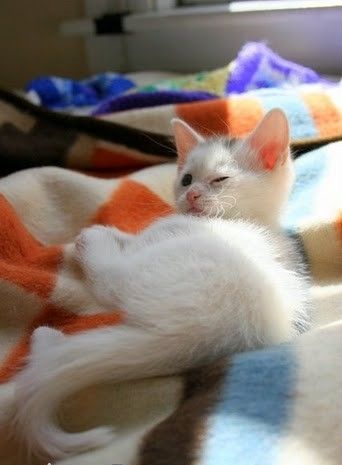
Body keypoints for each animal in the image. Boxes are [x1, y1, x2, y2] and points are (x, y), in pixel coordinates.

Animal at [8, 108, 310, 456]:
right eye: (187, 179)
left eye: (220, 180)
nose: (192, 195)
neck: (252, 220)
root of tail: (207, 332)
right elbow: (133, 238)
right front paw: (114, 234)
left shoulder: (168, 232)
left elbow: (136, 244)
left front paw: (92, 240)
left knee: (111, 282)